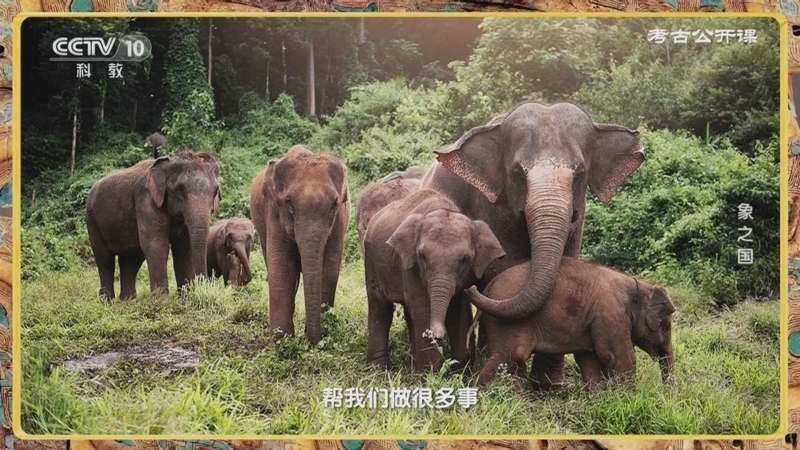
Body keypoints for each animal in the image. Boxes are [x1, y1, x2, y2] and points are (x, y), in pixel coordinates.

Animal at [85, 151, 222, 300]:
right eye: (179, 190)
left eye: (215, 191)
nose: (206, 290)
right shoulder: (146, 201)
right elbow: (156, 246)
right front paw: (162, 302)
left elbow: (184, 249)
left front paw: (186, 299)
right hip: (92, 221)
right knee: (105, 260)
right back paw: (107, 301)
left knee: (130, 260)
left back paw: (127, 301)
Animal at [249, 145, 350, 345]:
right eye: (289, 203)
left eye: (334, 205)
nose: (313, 341)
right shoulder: (274, 212)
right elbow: (283, 269)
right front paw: (282, 340)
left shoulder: (339, 220)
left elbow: (328, 269)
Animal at [363, 188, 506, 372]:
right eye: (422, 256)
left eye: (465, 259)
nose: (438, 336)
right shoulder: (409, 264)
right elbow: (424, 308)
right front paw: (429, 375)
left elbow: (458, 311)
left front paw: (459, 370)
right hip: (372, 262)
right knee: (380, 309)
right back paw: (378, 371)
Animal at [422, 101, 645, 389]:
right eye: (517, 173)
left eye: (580, 173)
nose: (470, 287)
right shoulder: (494, 207)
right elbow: (506, 267)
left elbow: (567, 262)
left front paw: (550, 386)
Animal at [474, 258, 675, 392]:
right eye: (666, 328)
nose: (668, 395)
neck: (636, 284)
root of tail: (488, 287)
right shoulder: (610, 313)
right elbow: (621, 358)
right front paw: (628, 397)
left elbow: (590, 360)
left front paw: (602, 398)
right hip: (506, 323)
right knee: (511, 355)